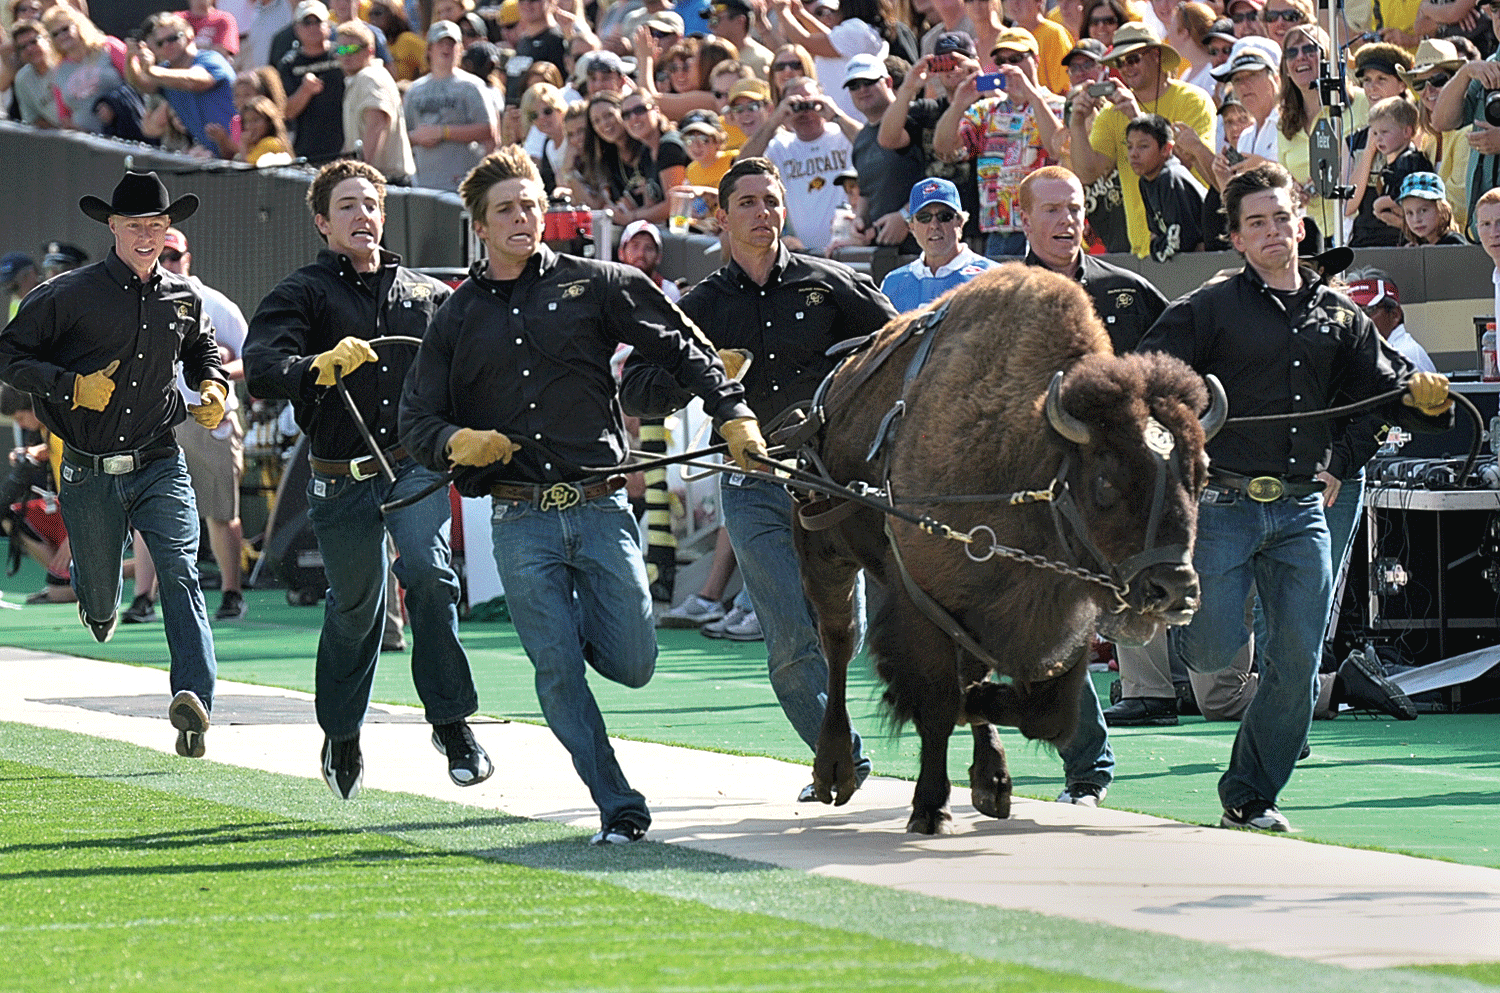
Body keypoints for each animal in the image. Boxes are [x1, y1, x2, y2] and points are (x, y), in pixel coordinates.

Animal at [792, 262, 1224, 834]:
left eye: (1201, 476)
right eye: (1106, 481)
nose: (1173, 589)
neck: (1033, 459)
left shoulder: (1049, 622)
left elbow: (1041, 711)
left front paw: (983, 767)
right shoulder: (922, 603)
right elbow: (937, 701)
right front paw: (929, 810)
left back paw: (992, 782)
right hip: (824, 550)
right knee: (839, 644)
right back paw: (834, 772)